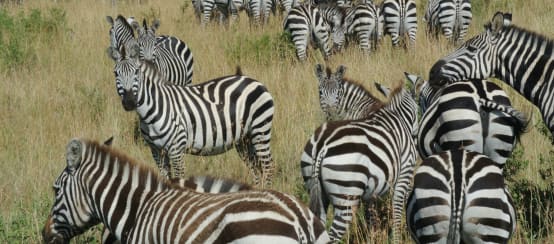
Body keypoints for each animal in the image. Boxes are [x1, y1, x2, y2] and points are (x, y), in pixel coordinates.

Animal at [105, 46, 274, 186]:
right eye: (115, 73)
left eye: (136, 72)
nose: (129, 102)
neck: (151, 112)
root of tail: (255, 82)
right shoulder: (156, 151)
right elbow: (165, 179)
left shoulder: (176, 149)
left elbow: (178, 178)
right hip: (244, 140)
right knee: (257, 170)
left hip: (260, 131)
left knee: (268, 167)